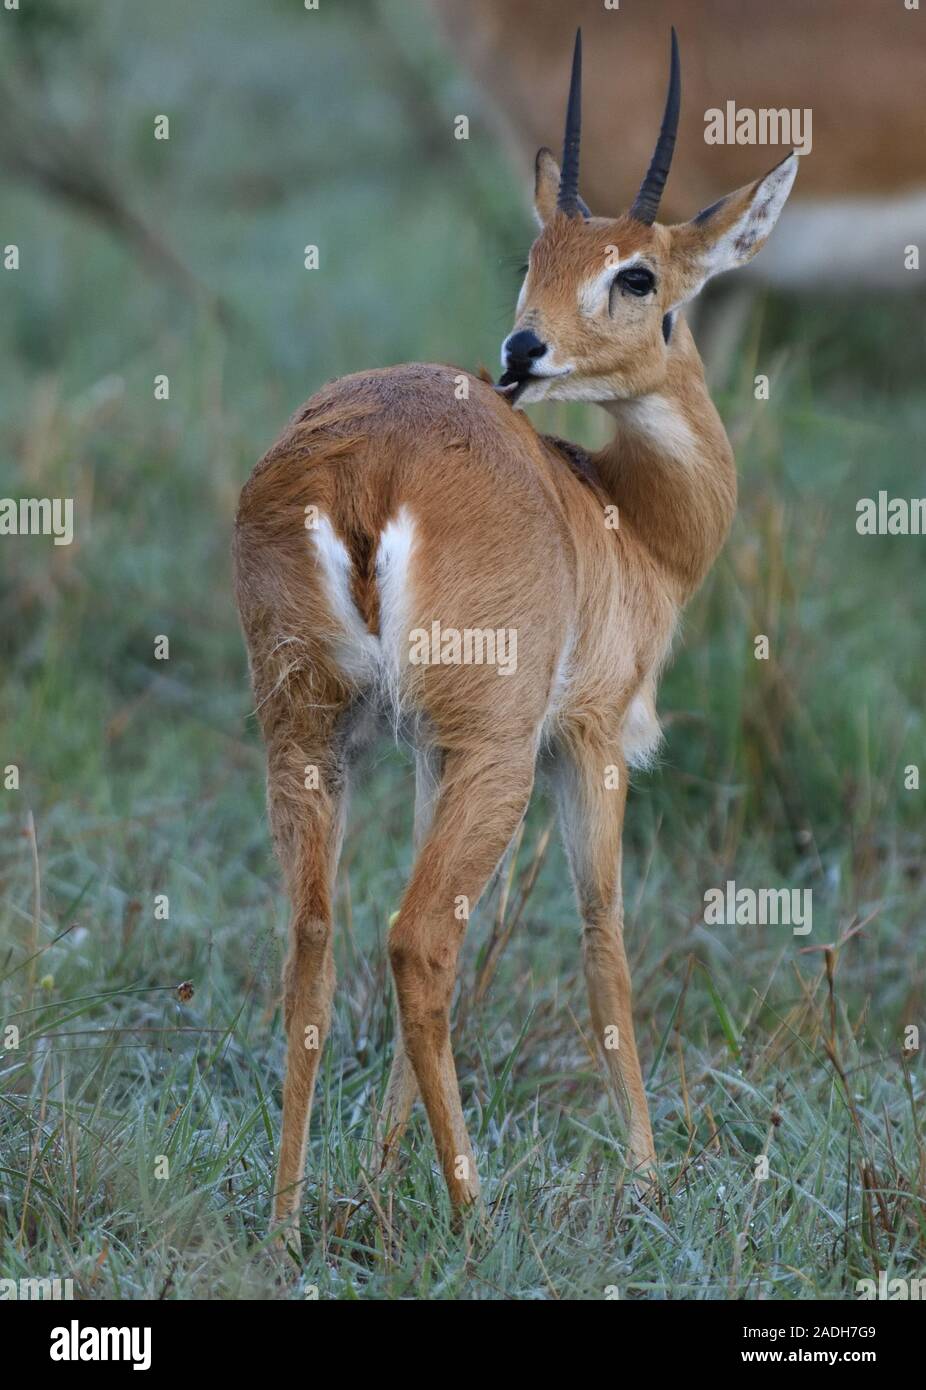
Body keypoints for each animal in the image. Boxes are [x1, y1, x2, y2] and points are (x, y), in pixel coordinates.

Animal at [234, 27, 795, 1239]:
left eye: (633, 271)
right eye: (536, 255)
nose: (522, 351)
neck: (628, 519)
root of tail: (365, 470)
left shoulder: (424, 754)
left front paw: (379, 1163)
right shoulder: (589, 740)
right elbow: (604, 940)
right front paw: (646, 1178)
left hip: (309, 733)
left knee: (315, 939)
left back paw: (289, 1221)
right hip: (491, 751)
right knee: (419, 939)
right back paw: (475, 1217)